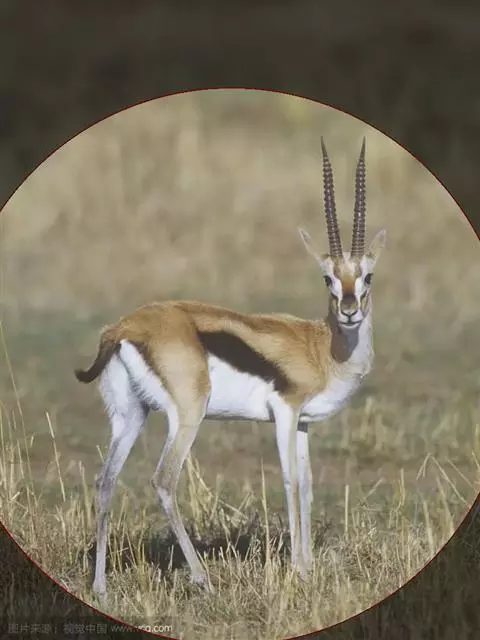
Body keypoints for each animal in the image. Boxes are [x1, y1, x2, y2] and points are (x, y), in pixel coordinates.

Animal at [75, 138, 386, 596]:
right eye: (327, 278)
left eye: (367, 277)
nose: (349, 312)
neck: (322, 348)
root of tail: (123, 327)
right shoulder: (285, 412)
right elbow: (291, 482)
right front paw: (297, 571)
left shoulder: (303, 423)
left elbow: (309, 486)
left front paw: (309, 568)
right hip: (188, 414)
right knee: (163, 480)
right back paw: (202, 578)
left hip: (130, 416)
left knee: (105, 481)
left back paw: (100, 586)